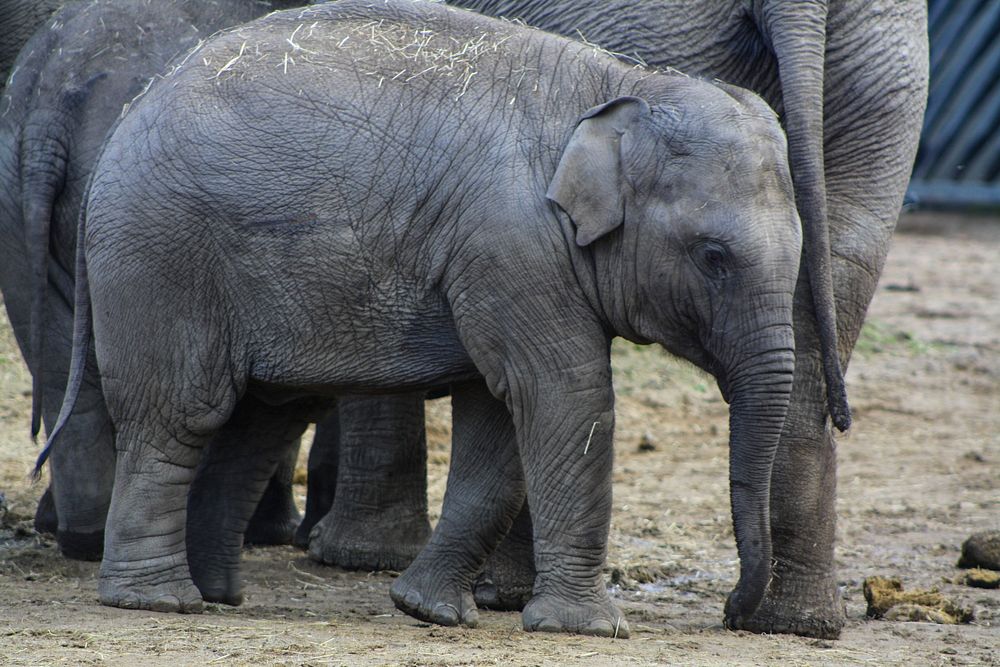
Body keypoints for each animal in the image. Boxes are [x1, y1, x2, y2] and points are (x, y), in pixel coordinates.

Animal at [58, 0, 800, 636]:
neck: (621, 84)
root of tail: (126, 119)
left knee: (257, 420)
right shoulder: (511, 240)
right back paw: (158, 600)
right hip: (159, 260)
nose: (734, 613)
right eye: (712, 256)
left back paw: (219, 595)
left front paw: (429, 610)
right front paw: (588, 627)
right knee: (181, 417)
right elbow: (562, 394)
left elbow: (500, 420)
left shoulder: (500, 261)